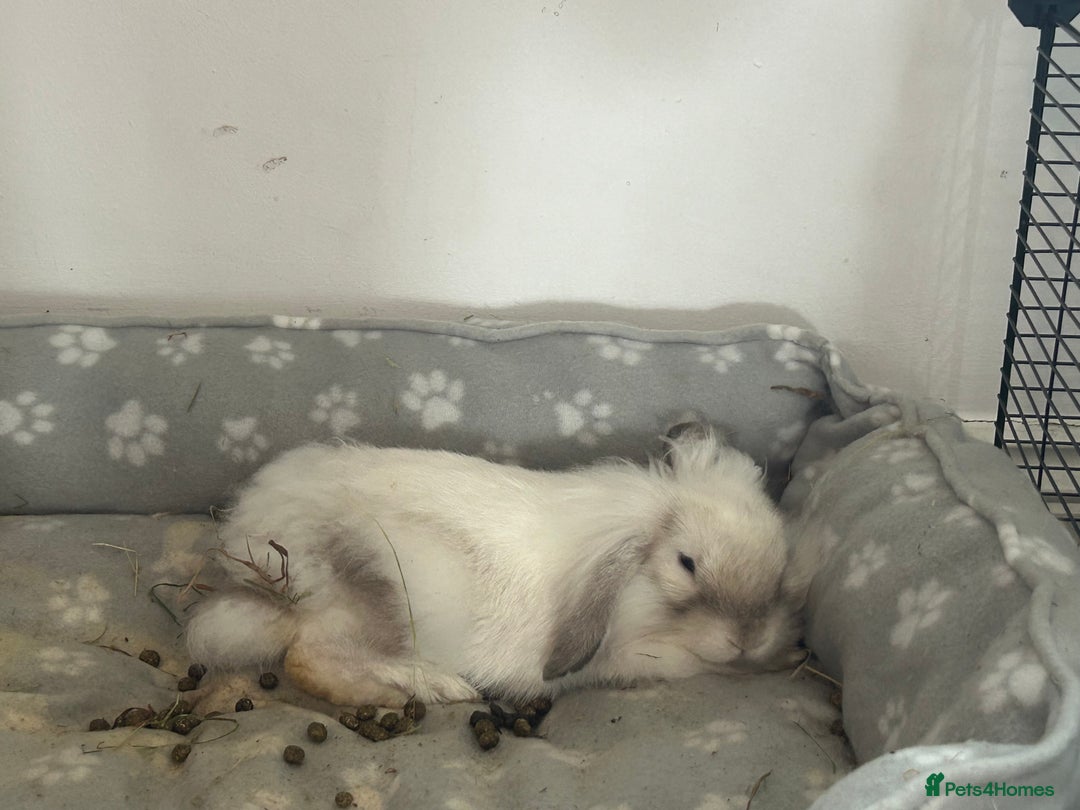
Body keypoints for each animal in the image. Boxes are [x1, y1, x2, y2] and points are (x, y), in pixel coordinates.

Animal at [185, 422, 804, 707]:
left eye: (781, 557)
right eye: (686, 563)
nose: (749, 635)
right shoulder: (641, 657)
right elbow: (696, 667)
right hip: (377, 596)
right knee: (308, 659)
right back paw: (424, 689)